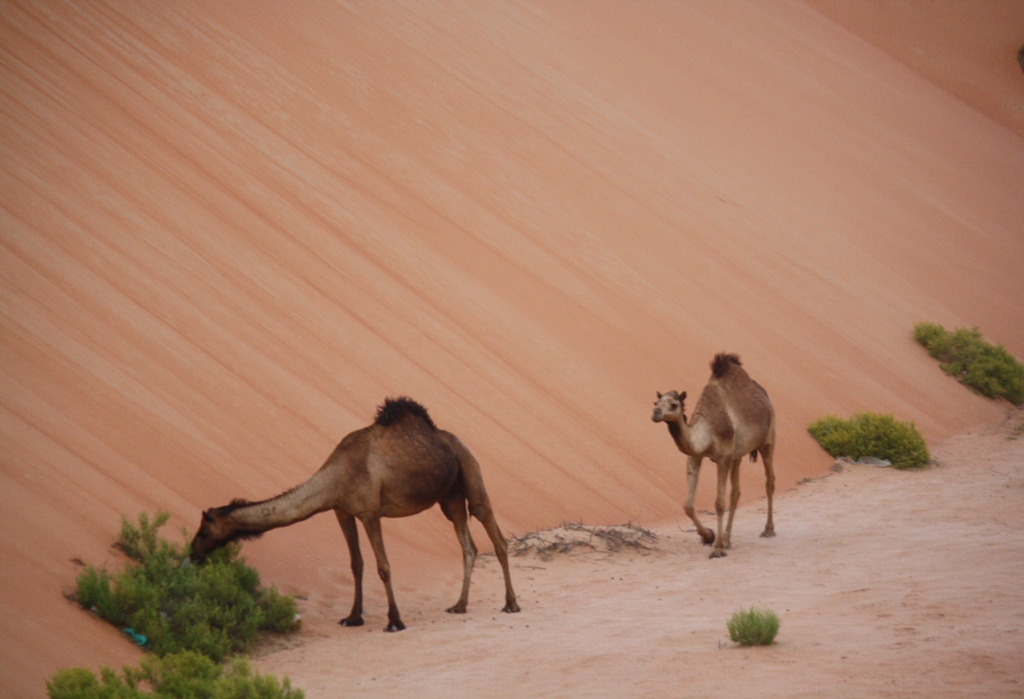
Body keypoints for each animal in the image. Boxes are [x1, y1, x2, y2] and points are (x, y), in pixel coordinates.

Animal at [190, 397, 520, 630]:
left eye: (204, 529)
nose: (192, 554)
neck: (336, 476)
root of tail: (452, 439)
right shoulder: (342, 511)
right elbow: (356, 564)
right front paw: (352, 617)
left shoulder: (370, 512)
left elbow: (383, 566)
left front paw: (394, 621)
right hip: (449, 497)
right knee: (468, 546)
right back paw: (459, 605)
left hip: (470, 468)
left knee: (494, 533)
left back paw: (511, 604)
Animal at [655, 356, 774, 556]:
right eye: (656, 403)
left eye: (674, 404)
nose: (655, 413)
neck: (707, 431)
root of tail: (764, 394)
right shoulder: (694, 457)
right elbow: (688, 505)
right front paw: (709, 536)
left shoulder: (723, 457)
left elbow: (719, 503)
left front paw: (717, 549)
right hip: (737, 455)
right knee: (736, 492)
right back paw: (727, 538)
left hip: (768, 440)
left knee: (769, 481)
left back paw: (768, 530)